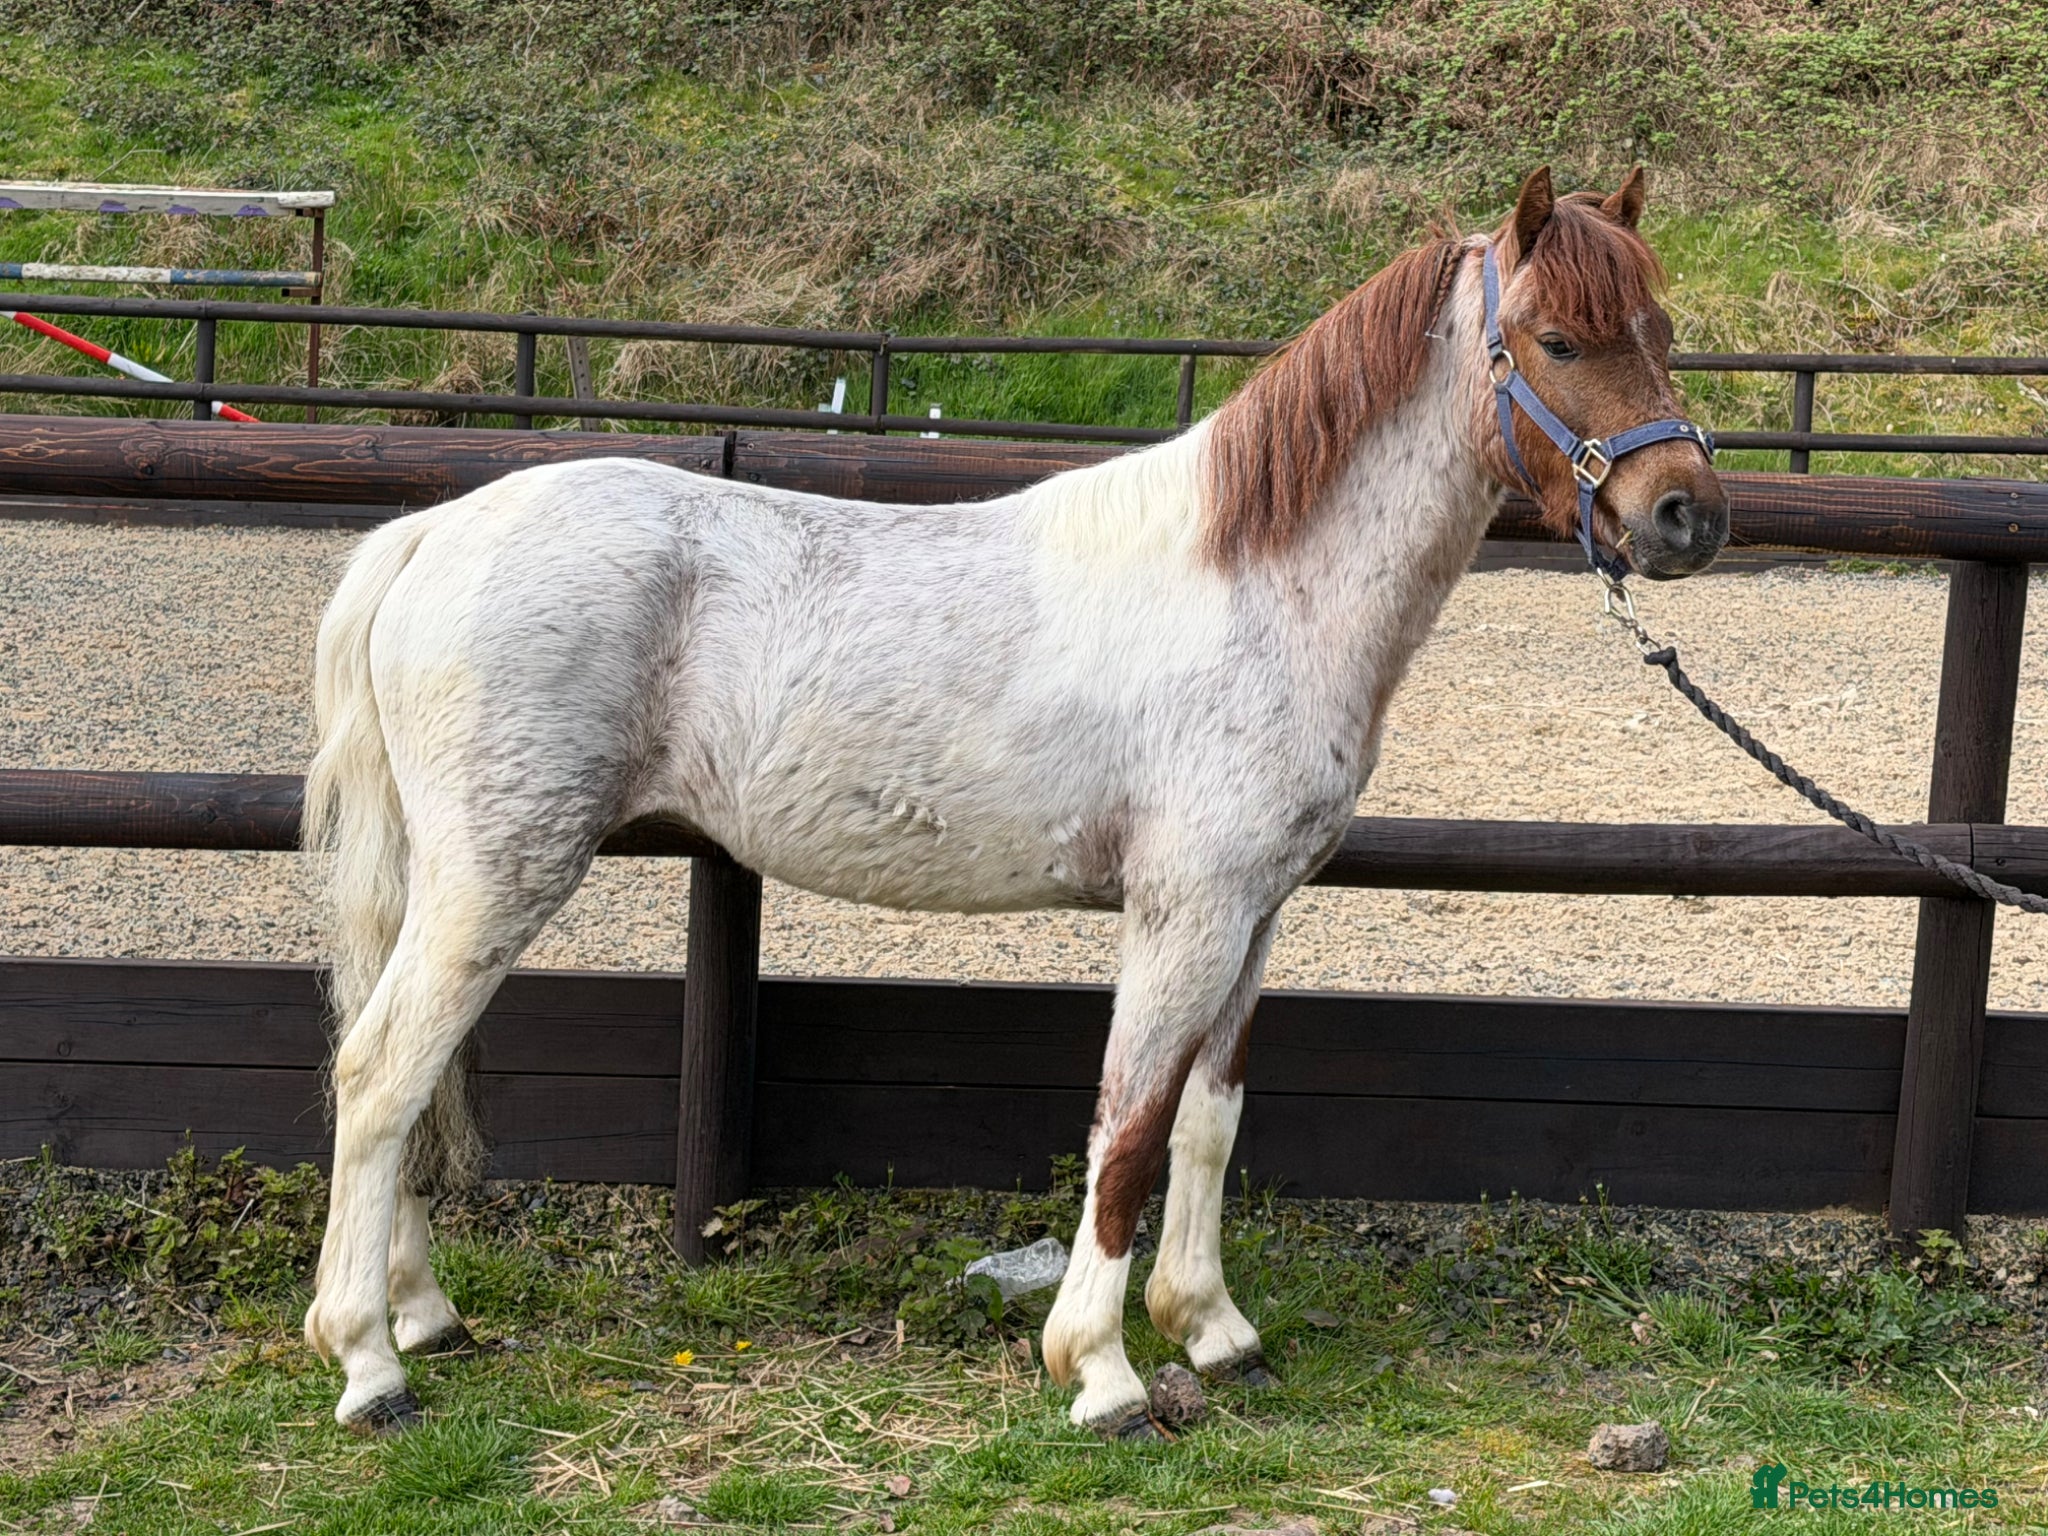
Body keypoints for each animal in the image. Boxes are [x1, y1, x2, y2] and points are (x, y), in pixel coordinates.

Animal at [300, 165, 1727, 1437]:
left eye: (1661, 332)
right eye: (1556, 338)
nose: (1685, 518)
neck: (1258, 587)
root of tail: (432, 534)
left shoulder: (1253, 918)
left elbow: (1208, 1121)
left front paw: (1212, 1331)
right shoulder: (1181, 915)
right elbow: (1128, 1132)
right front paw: (1097, 1372)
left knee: (399, 1080)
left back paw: (422, 1316)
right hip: (499, 875)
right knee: (379, 1074)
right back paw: (368, 1365)